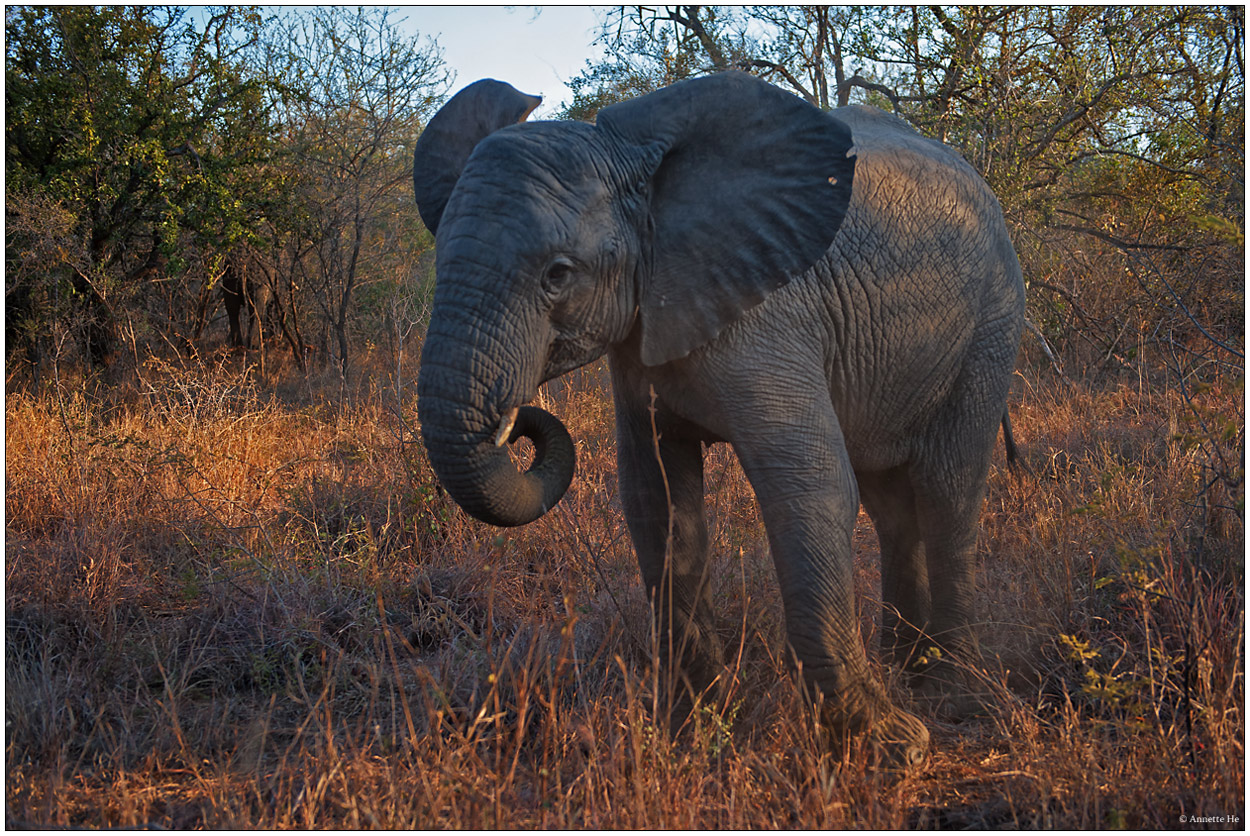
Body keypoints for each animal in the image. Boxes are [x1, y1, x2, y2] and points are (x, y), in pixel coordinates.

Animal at [412, 73, 1025, 769]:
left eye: (557, 275)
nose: (517, 424)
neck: (644, 172)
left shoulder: (772, 314)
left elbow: (807, 483)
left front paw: (893, 750)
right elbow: (656, 499)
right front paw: (693, 731)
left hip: (992, 321)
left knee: (949, 489)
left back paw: (952, 696)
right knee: (891, 502)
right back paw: (908, 671)